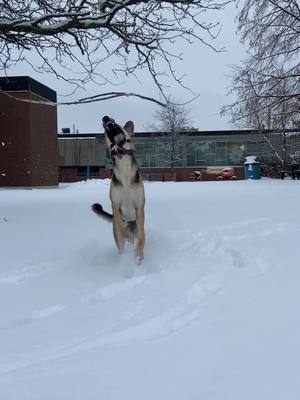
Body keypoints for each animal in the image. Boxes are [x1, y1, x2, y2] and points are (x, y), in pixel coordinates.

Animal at [91, 116, 145, 262]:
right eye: (105, 128)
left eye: (116, 123)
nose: (105, 118)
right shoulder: (115, 205)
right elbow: (121, 227)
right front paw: (128, 236)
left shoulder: (139, 206)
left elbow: (142, 237)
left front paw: (139, 254)